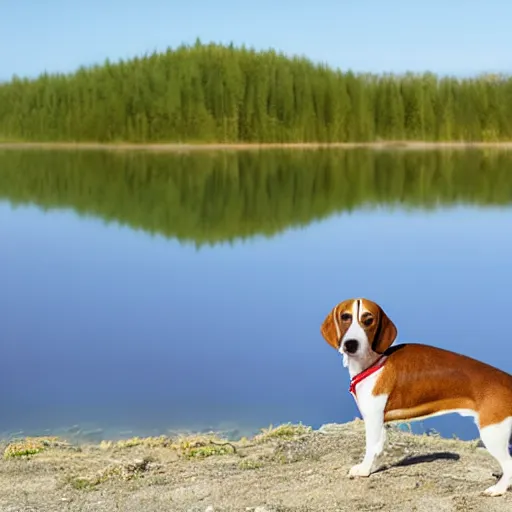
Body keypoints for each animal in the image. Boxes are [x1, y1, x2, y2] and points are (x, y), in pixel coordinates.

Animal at [320, 298, 512, 498]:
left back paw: (498, 489)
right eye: (345, 317)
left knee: (509, 465)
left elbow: (371, 447)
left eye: (368, 320)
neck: (374, 362)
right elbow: (379, 448)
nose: (351, 344)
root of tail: (508, 379)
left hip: (492, 433)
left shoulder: (373, 418)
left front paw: (364, 470)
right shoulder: (381, 422)